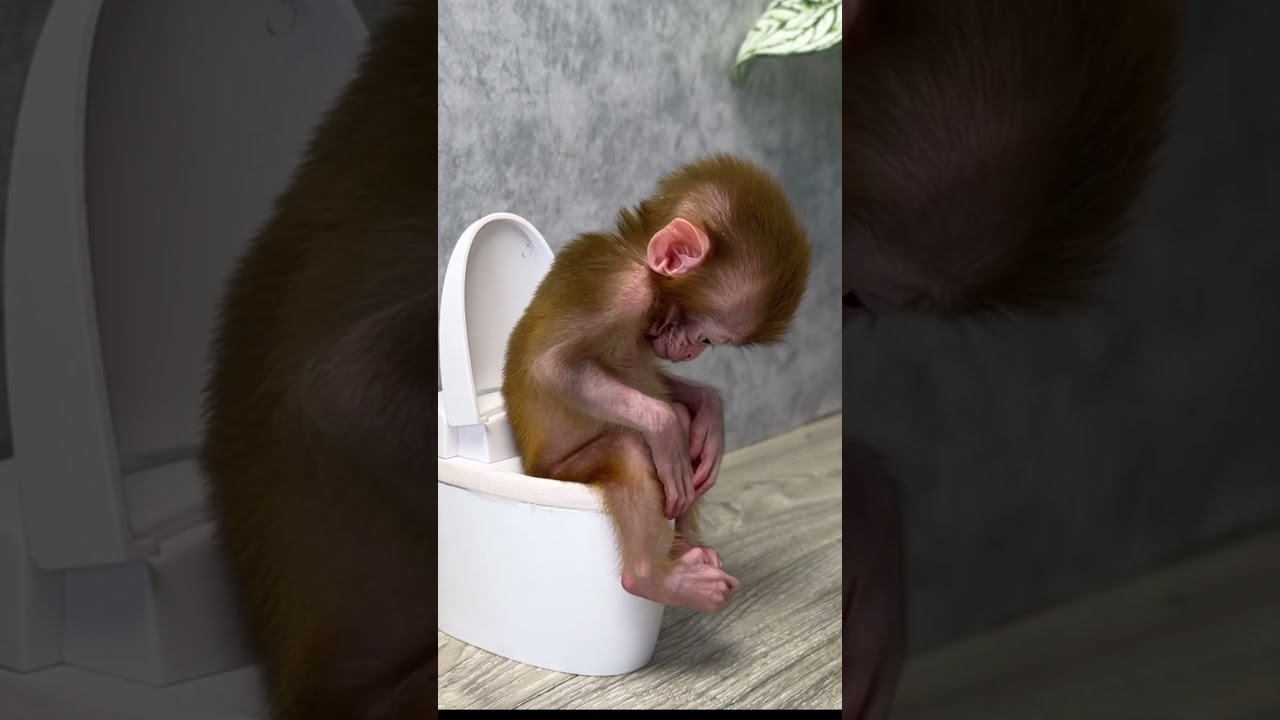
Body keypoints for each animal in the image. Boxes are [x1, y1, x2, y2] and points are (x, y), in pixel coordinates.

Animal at [501, 153, 812, 613]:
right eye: (707, 338)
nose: (691, 354)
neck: (636, 260)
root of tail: (528, 466)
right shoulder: (623, 292)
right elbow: (550, 368)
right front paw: (664, 427)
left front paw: (710, 410)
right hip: (560, 473)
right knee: (629, 450)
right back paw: (654, 578)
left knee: (682, 429)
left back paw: (683, 544)